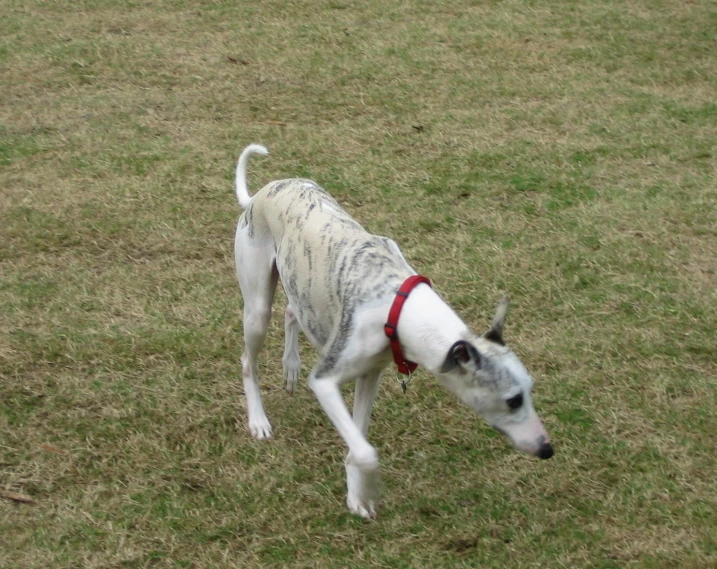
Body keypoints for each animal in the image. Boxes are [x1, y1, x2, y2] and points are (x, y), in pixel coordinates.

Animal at [235, 143, 552, 520]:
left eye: (530, 391)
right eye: (513, 400)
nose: (547, 449)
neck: (398, 304)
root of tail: (261, 193)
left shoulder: (369, 374)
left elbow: (358, 441)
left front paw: (356, 494)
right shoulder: (326, 381)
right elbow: (366, 451)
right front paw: (368, 491)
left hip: (304, 289)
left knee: (291, 311)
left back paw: (291, 366)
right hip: (257, 309)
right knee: (248, 360)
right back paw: (258, 420)